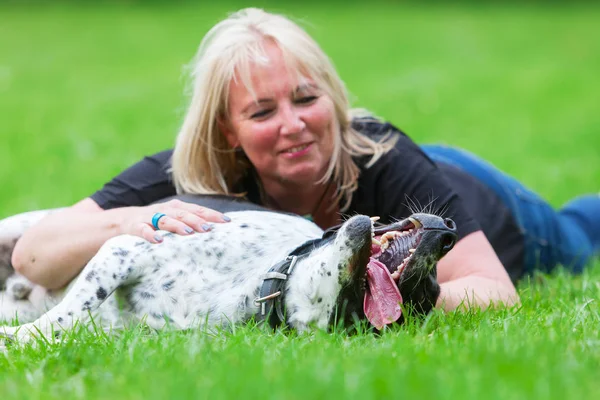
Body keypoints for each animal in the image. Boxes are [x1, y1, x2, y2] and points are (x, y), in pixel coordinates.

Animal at [0, 195, 454, 342]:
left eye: (417, 296)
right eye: (429, 285)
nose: (447, 233)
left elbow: (64, 322)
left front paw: (15, 340)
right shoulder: (125, 249)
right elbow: (71, 310)